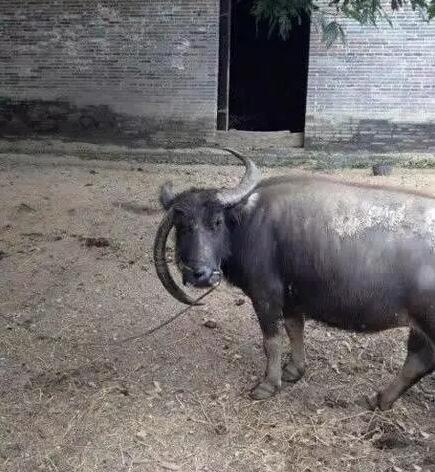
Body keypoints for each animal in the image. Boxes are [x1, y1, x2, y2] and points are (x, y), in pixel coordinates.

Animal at [153, 149, 435, 410]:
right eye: (181, 226)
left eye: (217, 222)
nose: (199, 274)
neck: (248, 224)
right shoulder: (292, 298)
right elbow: (294, 330)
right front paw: (294, 371)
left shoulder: (265, 297)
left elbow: (272, 341)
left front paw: (268, 384)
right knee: (419, 360)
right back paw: (380, 399)